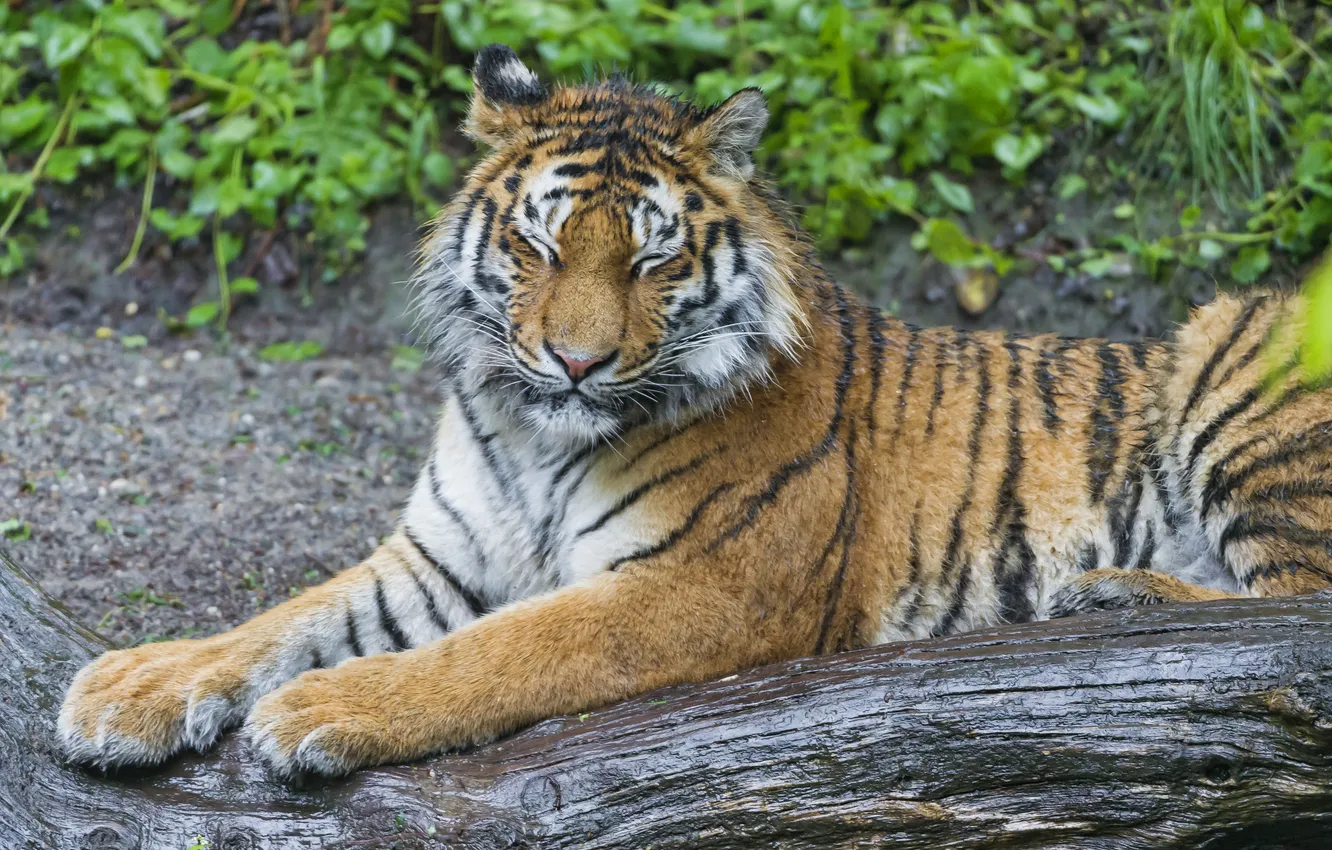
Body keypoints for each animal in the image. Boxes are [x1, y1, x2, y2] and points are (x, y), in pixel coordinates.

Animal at [57, 44, 1332, 778]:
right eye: (540, 244)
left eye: (652, 259)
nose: (575, 361)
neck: (537, 436)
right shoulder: (437, 558)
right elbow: (285, 615)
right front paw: (133, 689)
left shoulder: (702, 584)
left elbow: (500, 650)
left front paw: (317, 710)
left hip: (1232, 358)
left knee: (1291, 611)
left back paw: (1111, 594)